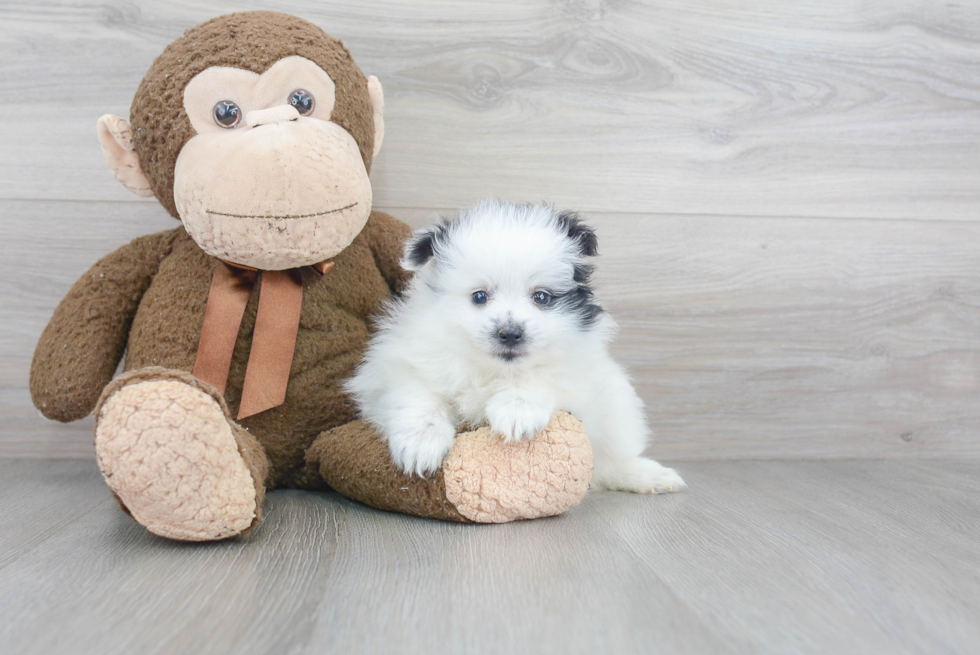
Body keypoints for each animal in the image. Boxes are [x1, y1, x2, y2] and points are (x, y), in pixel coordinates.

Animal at [348, 202, 684, 494]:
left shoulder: (579, 366)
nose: (510, 334)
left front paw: (516, 411)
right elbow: (419, 397)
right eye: (479, 297)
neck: (493, 369)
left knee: (611, 460)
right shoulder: (400, 365)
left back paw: (649, 476)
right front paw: (422, 444)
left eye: (542, 297)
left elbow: (542, 376)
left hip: (617, 408)